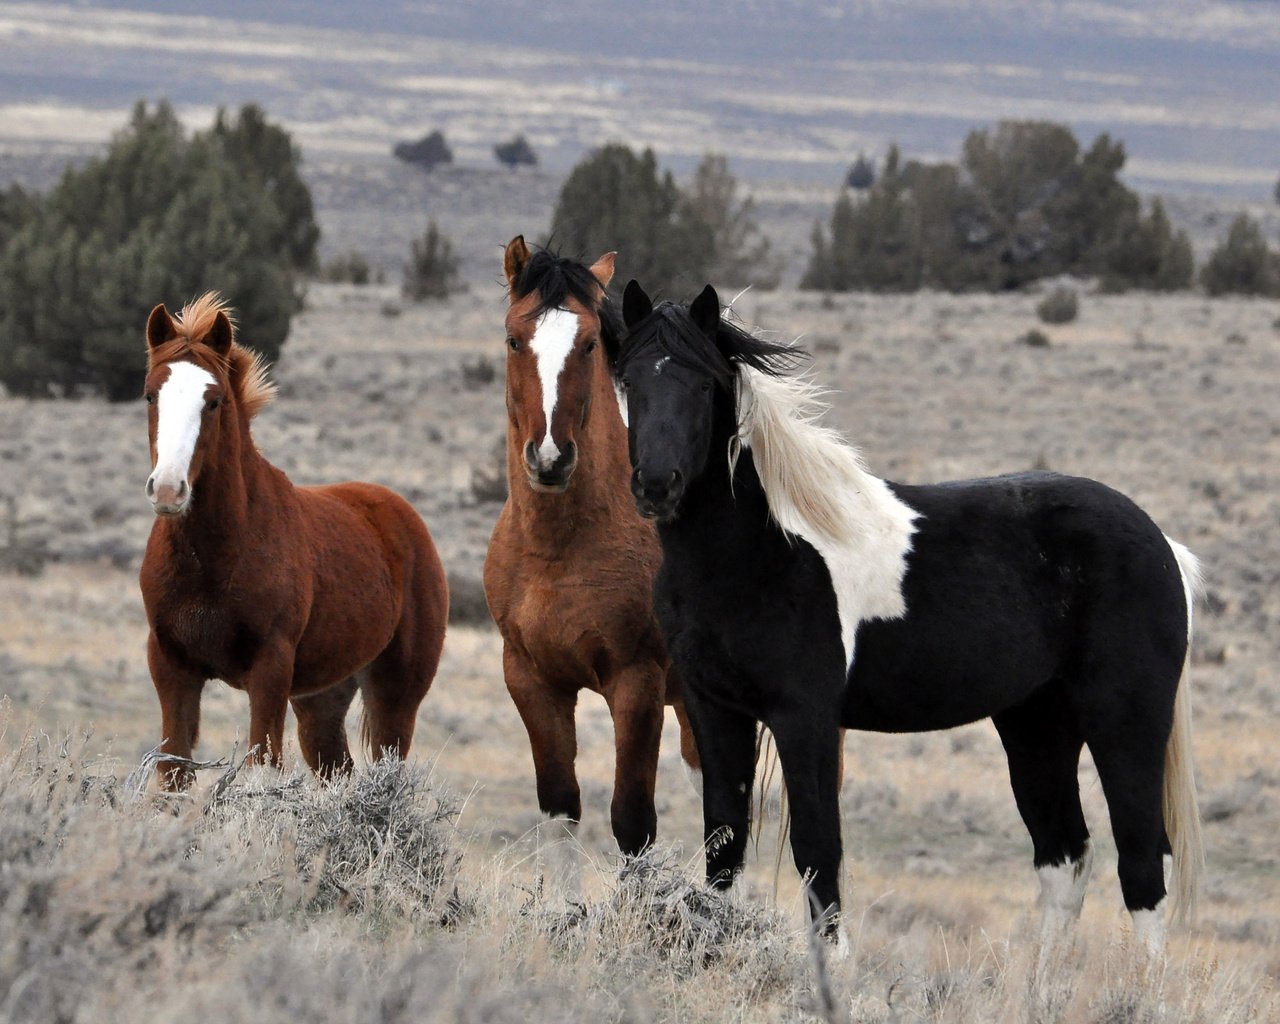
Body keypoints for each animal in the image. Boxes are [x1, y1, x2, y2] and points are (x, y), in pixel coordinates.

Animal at [138, 291, 450, 788]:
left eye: (214, 400)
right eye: (151, 395)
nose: (168, 490)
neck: (213, 557)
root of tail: (403, 516)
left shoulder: (270, 669)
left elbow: (261, 766)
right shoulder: (171, 666)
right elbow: (173, 771)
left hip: (395, 695)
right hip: (321, 700)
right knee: (337, 769)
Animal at [481, 240, 701, 865]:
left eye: (587, 344)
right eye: (513, 338)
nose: (551, 457)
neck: (558, 551)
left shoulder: (636, 684)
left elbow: (632, 824)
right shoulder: (533, 681)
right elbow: (561, 810)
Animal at [614, 277, 1203, 952]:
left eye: (703, 383)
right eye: (629, 379)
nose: (657, 484)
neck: (760, 550)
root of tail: (1163, 546)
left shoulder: (804, 718)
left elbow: (819, 853)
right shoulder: (715, 710)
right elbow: (724, 848)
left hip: (1124, 723)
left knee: (1142, 867)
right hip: (1037, 724)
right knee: (1065, 859)